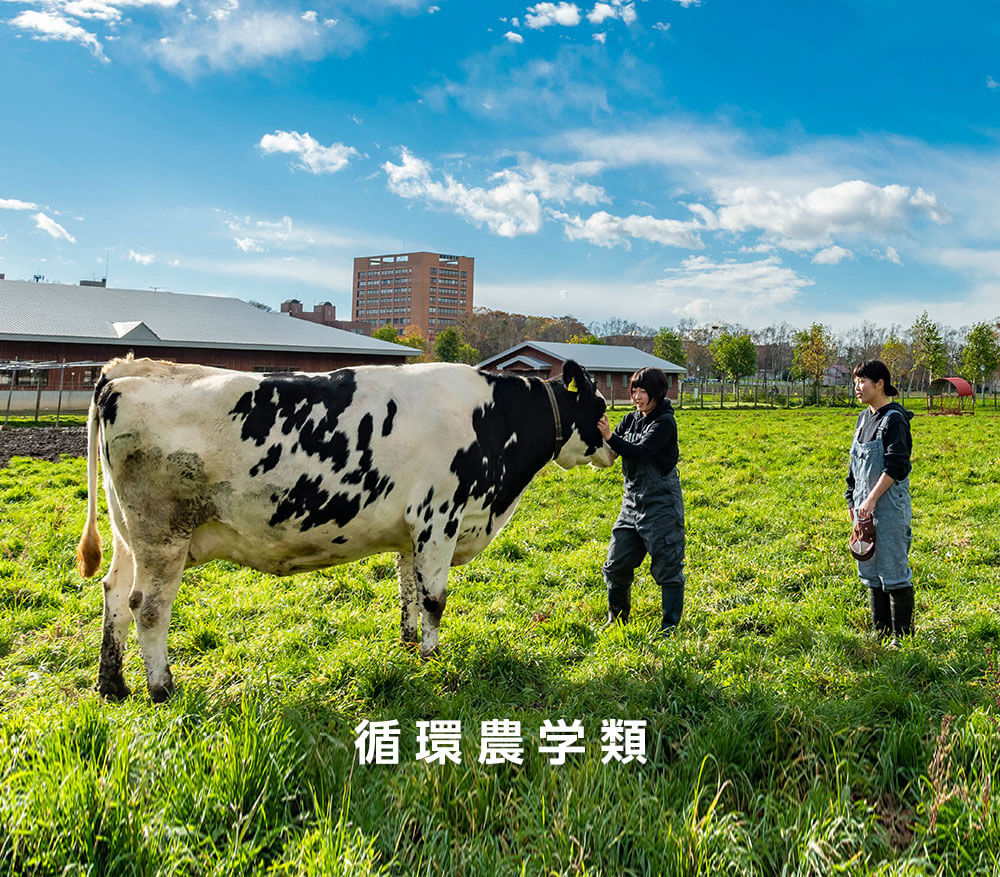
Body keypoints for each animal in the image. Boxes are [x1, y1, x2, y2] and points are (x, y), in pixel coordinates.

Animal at [78, 354, 612, 700]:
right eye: (602, 408)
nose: (613, 447)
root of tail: (123, 373)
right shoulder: (440, 517)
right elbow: (435, 599)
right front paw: (433, 660)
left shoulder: (411, 532)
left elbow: (408, 592)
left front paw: (409, 645)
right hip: (163, 534)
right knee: (147, 608)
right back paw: (161, 688)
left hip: (129, 535)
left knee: (114, 594)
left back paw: (113, 684)